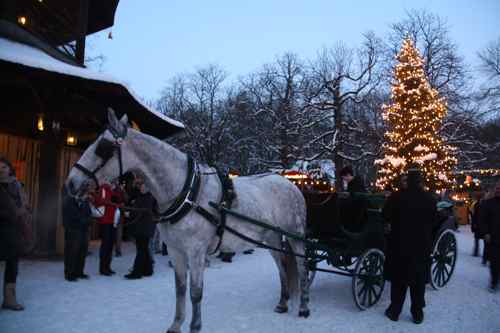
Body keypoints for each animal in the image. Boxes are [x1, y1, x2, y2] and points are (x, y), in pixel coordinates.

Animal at [66, 110, 308, 330]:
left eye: (103, 147)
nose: (70, 183)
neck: (186, 193)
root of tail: (290, 184)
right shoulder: (176, 251)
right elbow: (180, 290)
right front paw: (176, 324)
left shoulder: (196, 252)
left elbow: (195, 293)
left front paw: (195, 326)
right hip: (272, 238)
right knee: (282, 266)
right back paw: (283, 303)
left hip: (295, 236)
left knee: (302, 265)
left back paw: (304, 307)